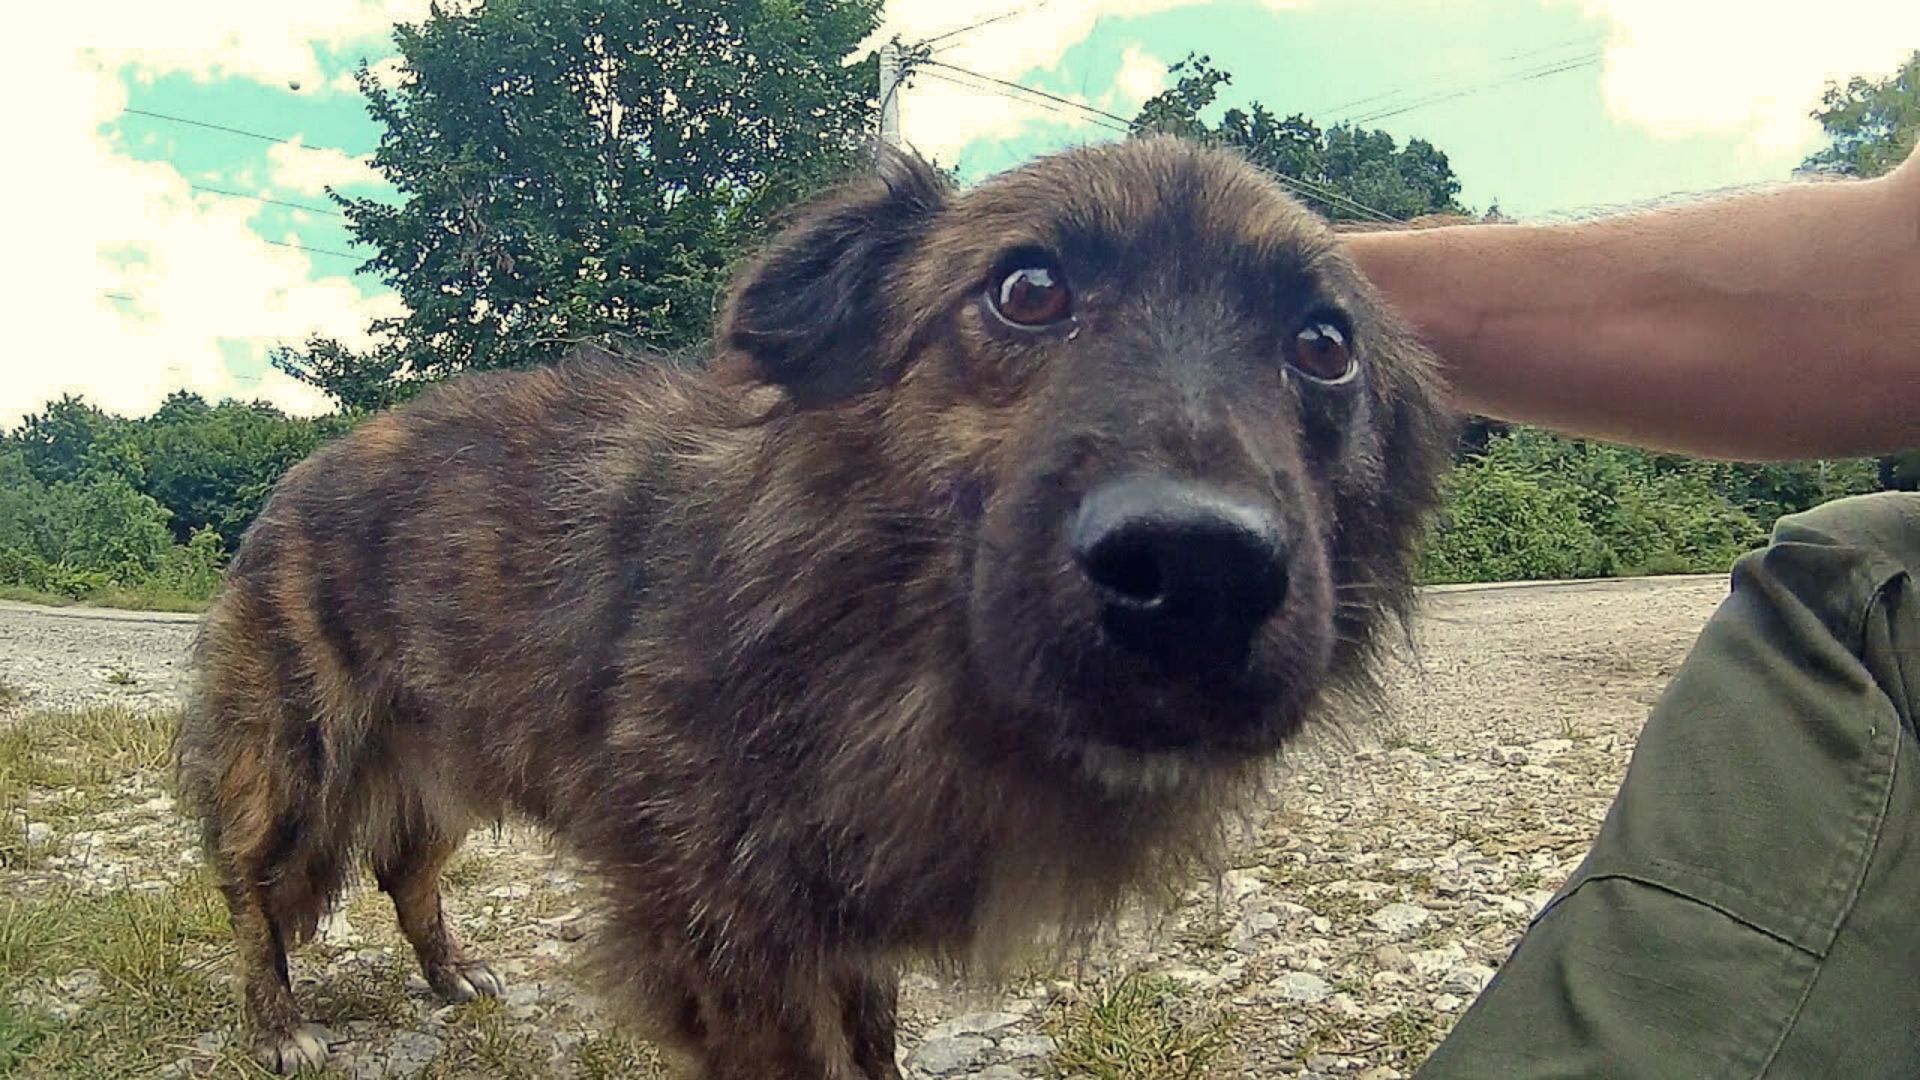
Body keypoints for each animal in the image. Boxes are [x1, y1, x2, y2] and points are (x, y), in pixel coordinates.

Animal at [172, 136, 1451, 1076]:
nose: (1195, 569)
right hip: (301, 768)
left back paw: (448, 973)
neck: (872, 631)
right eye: (1028, 290)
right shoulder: (730, 941)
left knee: (405, 868)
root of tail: (293, 479)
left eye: (1324, 346)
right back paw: (278, 1023)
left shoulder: (839, 915)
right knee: (249, 890)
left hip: (442, 753)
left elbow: (872, 1041)